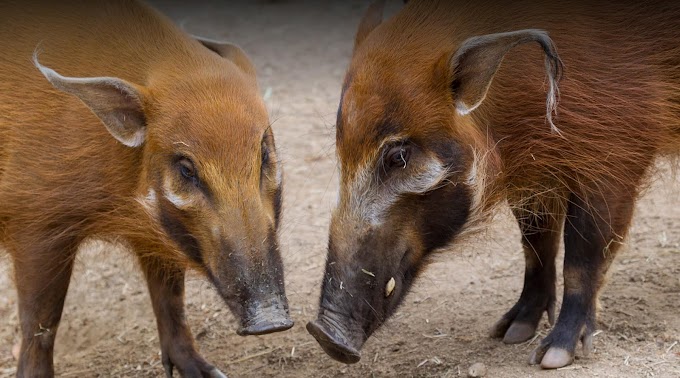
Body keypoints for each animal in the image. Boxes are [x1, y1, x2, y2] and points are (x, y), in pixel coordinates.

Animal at [0, 1, 292, 376]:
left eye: (264, 153)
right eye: (186, 167)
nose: (271, 320)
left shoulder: (157, 232)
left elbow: (170, 298)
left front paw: (208, 371)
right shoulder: (37, 223)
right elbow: (40, 321)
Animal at [308, 0, 680, 370]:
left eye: (398, 156)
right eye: (340, 148)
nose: (324, 335)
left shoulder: (615, 159)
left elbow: (583, 256)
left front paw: (552, 357)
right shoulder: (536, 177)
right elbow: (535, 244)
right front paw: (509, 332)